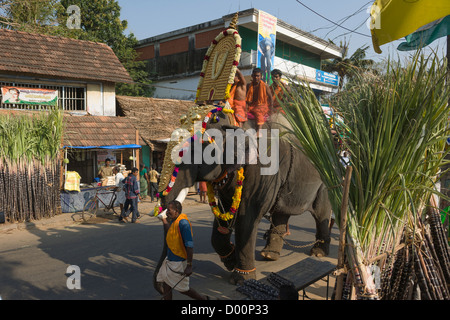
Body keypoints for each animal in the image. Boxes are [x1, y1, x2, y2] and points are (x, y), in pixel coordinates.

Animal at [153, 106, 332, 286]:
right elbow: (223, 218)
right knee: (281, 214)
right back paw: (269, 255)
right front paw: (231, 261)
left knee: (321, 214)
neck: (236, 123)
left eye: (197, 150)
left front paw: (241, 278)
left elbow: (247, 219)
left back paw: (318, 252)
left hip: (325, 183)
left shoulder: (263, 172)